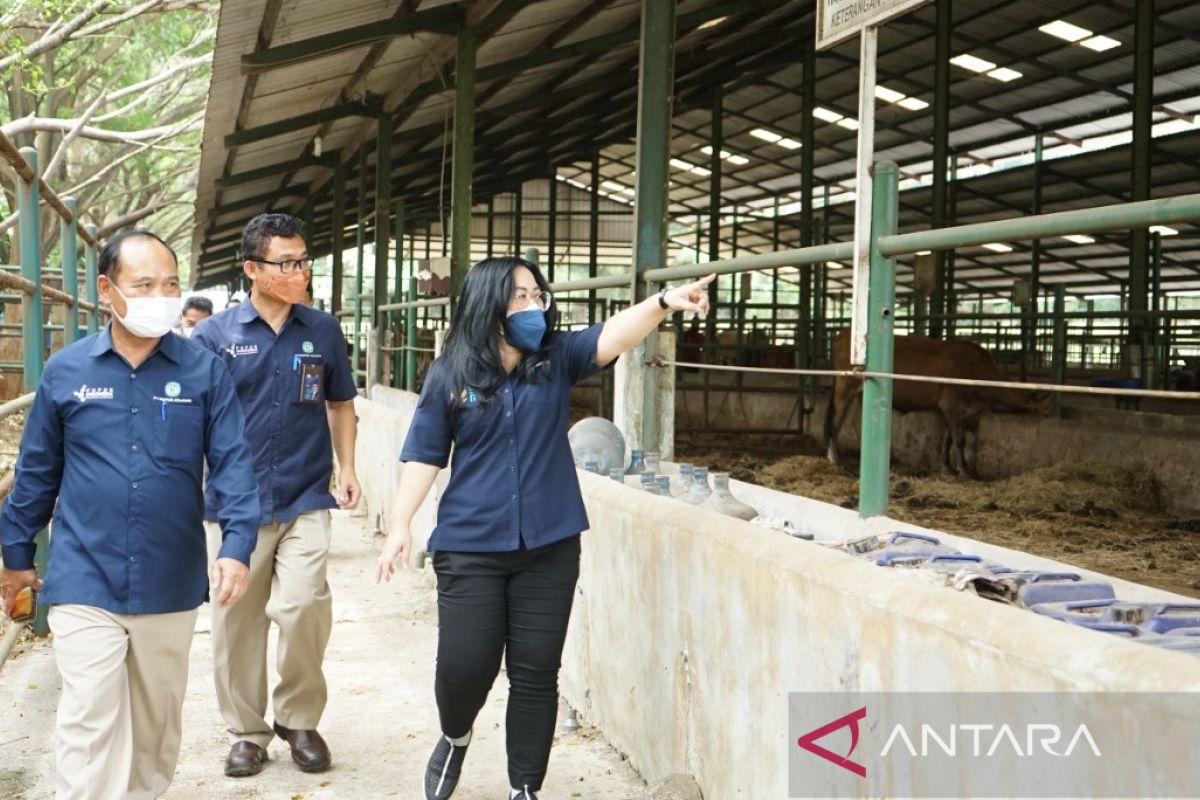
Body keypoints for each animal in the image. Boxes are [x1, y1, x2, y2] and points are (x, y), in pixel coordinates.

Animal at [830, 331, 1046, 474]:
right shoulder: (952, 404)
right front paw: (963, 470)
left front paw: (947, 467)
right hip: (845, 387)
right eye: (1040, 408)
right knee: (836, 420)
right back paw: (835, 459)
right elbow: (959, 439)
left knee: (859, 423)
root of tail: (845, 333)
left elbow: (947, 438)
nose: (1046, 417)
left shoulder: (951, 409)